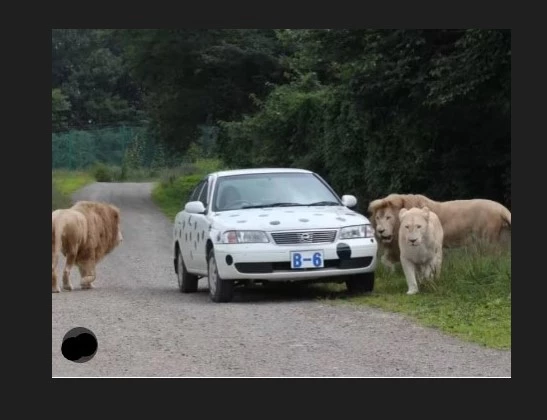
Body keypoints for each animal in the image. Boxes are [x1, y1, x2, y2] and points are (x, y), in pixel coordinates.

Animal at [368, 193, 512, 270]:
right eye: (378, 218)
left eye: (388, 217)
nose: (380, 231)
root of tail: (501, 208)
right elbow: (384, 259)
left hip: (487, 240)